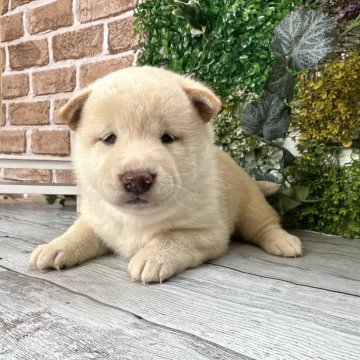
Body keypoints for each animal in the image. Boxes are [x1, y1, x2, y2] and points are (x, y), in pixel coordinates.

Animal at [29, 66, 302, 282]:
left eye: (167, 138)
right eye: (109, 138)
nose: (137, 179)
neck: (136, 219)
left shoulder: (208, 232)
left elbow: (172, 236)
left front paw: (151, 258)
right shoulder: (98, 219)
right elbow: (79, 232)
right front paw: (55, 248)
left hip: (250, 205)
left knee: (266, 224)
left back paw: (285, 242)